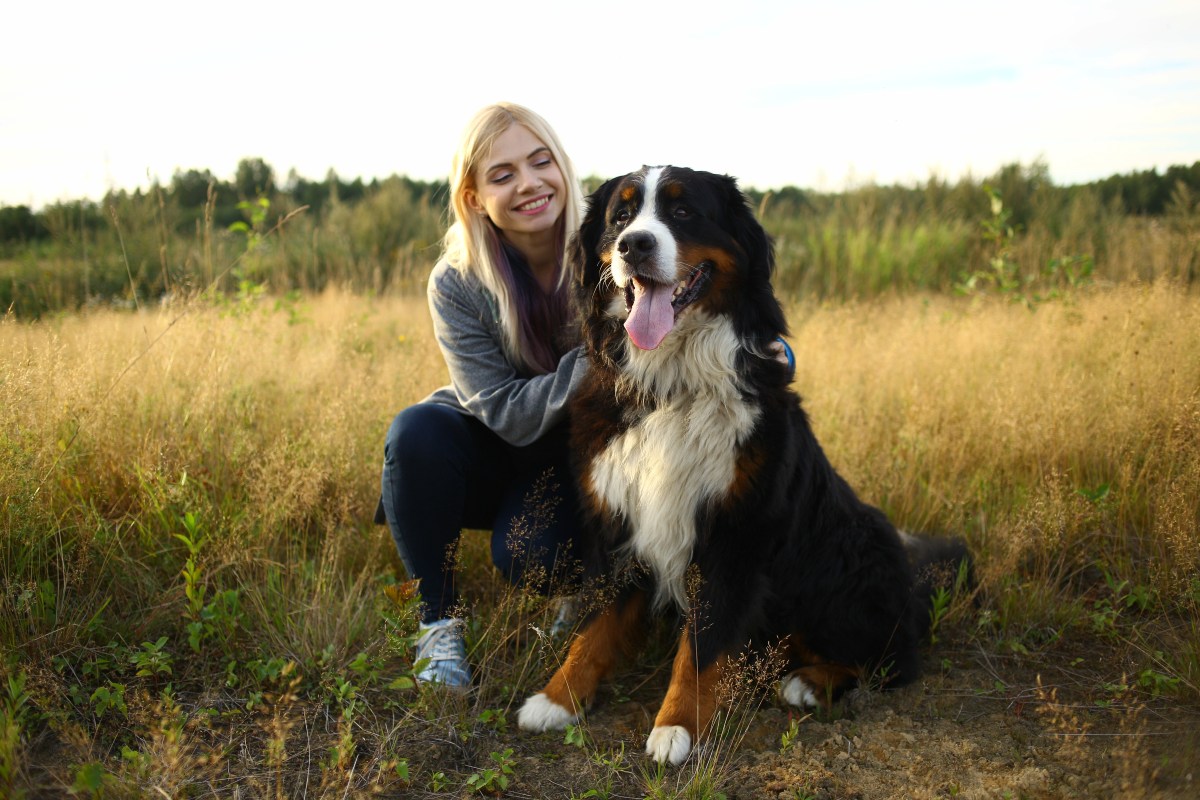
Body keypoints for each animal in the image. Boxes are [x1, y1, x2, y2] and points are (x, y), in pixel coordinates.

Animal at [513, 167, 964, 762]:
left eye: (683, 212)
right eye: (620, 216)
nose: (634, 245)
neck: (673, 382)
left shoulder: (734, 533)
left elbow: (701, 645)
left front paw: (677, 727)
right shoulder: (614, 523)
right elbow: (593, 624)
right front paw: (557, 698)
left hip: (849, 553)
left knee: (891, 660)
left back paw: (808, 682)